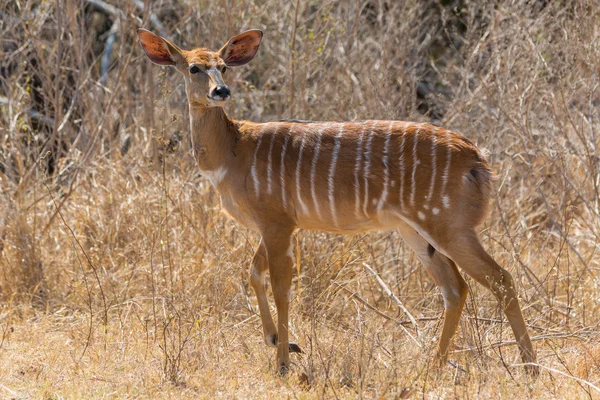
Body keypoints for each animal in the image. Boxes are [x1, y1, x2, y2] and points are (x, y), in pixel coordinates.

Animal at [138, 28, 536, 376]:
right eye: (194, 67)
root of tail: (477, 159)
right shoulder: (280, 225)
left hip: (450, 225)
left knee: (500, 279)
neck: (235, 150)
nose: (221, 91)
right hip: (415, 231)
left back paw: (530, 367)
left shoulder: (277, 222)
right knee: (456, 288)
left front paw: (284, 363)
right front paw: (282, 342)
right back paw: (434, 367)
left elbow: (281, 287)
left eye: (223, 65)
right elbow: (253, 272)